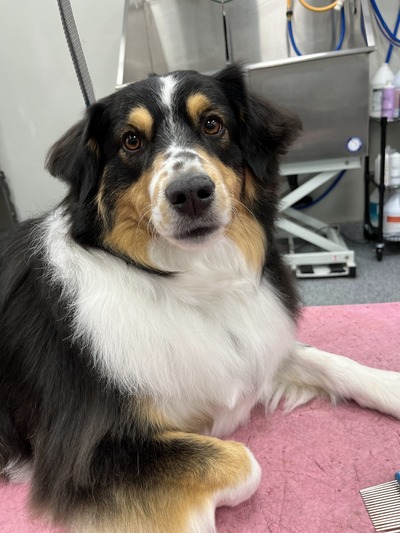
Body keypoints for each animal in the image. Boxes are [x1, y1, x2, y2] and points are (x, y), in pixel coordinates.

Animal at [0, 66, 400, 532]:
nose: (190, 192)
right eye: (131, 140)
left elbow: (328, 360)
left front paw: (390, 385)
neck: (188, 279)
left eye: (212, 124)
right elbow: (240, 462)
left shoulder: (253, 349)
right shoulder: (83, 454)